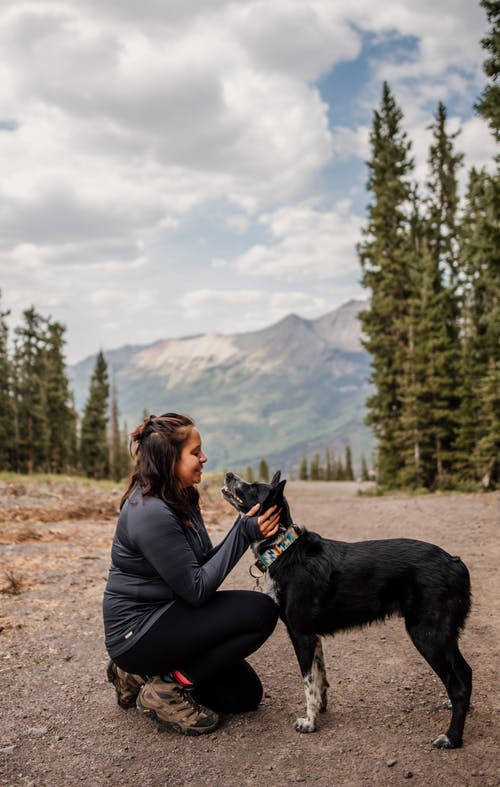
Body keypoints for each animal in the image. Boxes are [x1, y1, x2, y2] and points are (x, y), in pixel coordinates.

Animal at [223, 470, 472, 748]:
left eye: (253, 487)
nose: (229, 474)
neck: (283, 548)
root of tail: (454, 562)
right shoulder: (314, 637)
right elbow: (319, 678)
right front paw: (320, 709)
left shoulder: (302, 635)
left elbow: (308, 681)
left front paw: (309, 722)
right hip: (443, 636)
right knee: (465, 673)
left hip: (427, 635)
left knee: (458, 684)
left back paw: (452, 737)